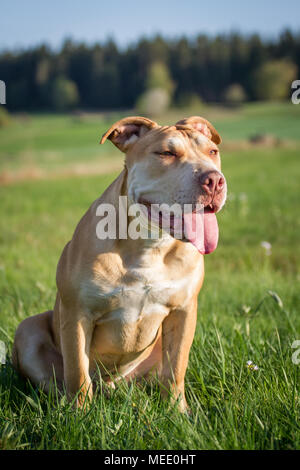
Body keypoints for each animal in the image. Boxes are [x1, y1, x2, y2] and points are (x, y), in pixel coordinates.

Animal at [12, 114, 227, 412]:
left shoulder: (183, 311)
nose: (214, 180)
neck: (150, 244)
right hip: (28, 329)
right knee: (58, 379)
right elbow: (77, 370)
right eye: (167, 153)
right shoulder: (77, 313)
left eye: (212, 152)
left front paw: (178, 412)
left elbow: (176, 369)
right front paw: (80, 414)